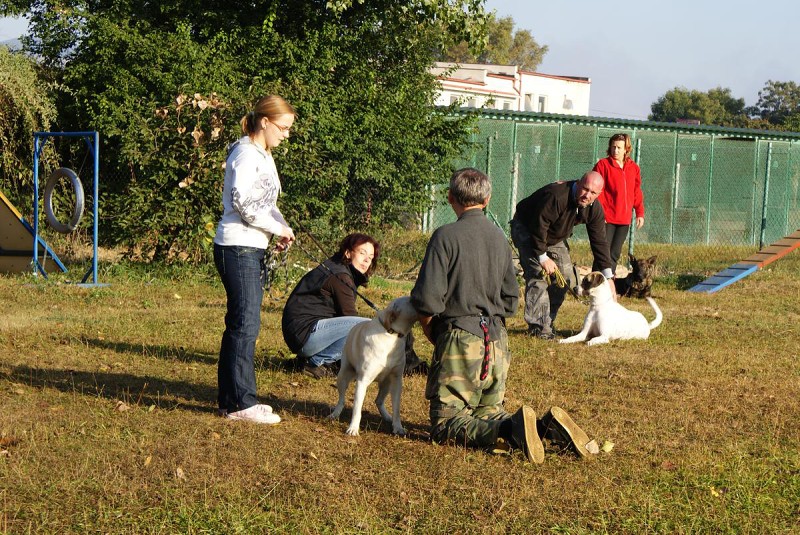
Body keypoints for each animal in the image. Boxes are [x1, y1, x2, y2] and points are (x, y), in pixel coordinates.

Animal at [330, 296, 418, 438]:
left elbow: (396, 409)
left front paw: (398, 427)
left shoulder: (396, 381)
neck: (391, 335)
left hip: (386, 384)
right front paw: (353, 428)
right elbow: (357, 408)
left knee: (379, 400)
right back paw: (335, 414)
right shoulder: (362, 381)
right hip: (342, 376)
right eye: (411, 300)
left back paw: (387, 417)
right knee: (341, 400)